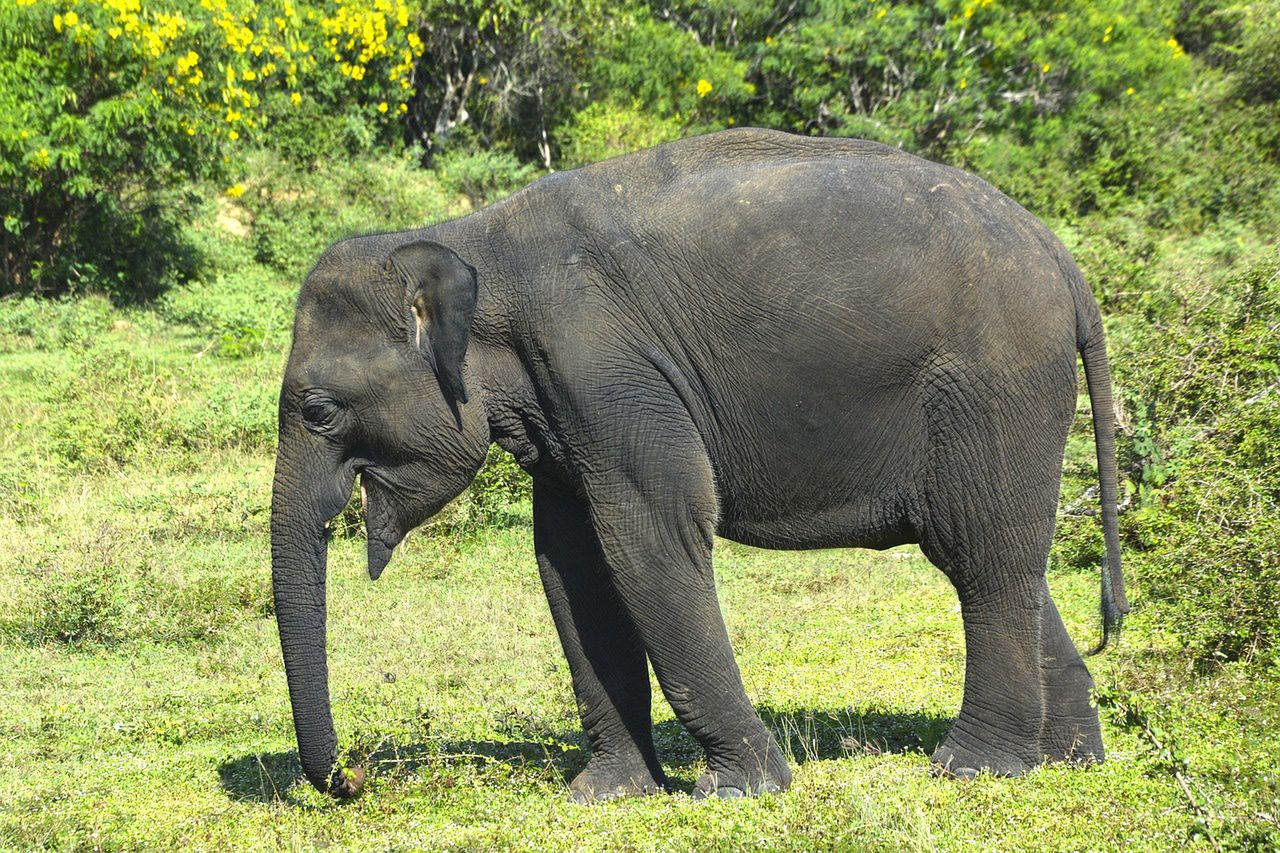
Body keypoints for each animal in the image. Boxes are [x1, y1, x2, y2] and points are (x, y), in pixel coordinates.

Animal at [272, 124, 1131, 799]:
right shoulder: (563, 404)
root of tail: (1065, 262)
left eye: (319, 411)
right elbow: (570, 566)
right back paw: (1073, 759)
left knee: (979, 552)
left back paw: (972, 768)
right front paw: (608, 795)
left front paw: (742, 788)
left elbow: (650, 538)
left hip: (993, 383)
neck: (472, 239)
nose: (355, 776)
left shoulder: (608, 371)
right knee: (1001, 552)